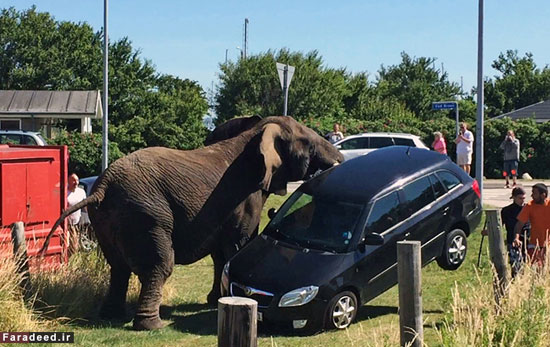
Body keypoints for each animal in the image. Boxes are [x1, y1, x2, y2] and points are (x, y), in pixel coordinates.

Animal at [41, 116, 344, 332]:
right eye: (309, 141)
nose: (341, 160)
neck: (255, 132)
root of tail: (102, 187)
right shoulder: (245, 196)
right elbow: (239, 244)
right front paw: (219, 303)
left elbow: (221, 254)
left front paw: (215, 301)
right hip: (146, 214)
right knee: (159, 265)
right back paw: (152, 326)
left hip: (107, 220)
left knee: (118, 268)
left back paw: (111, 317)